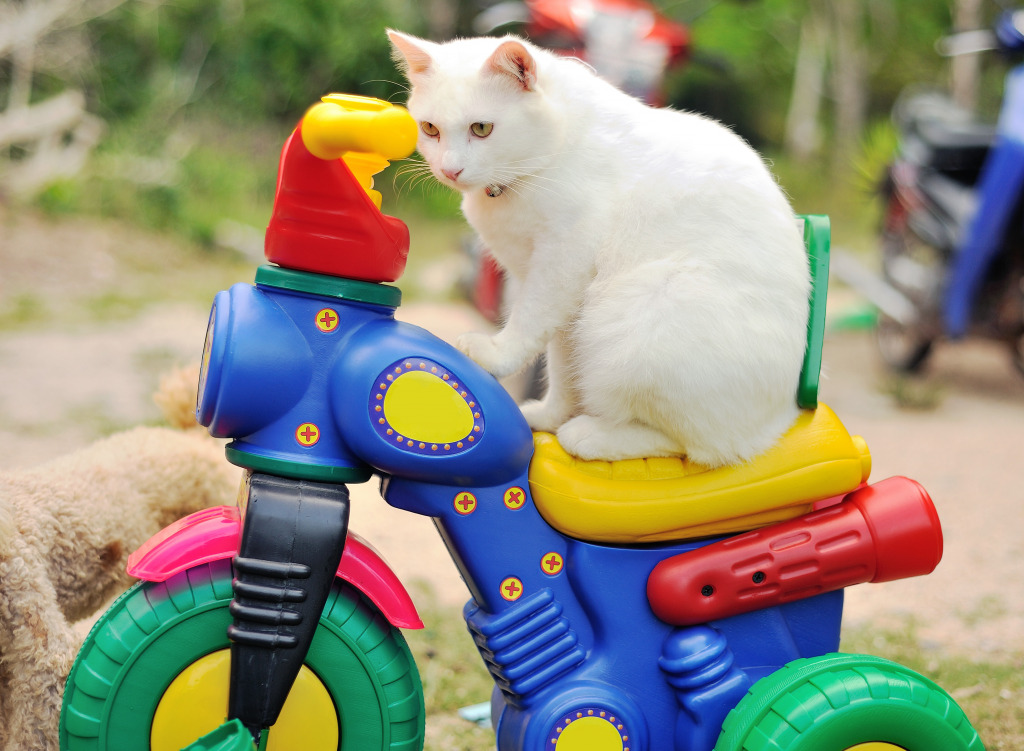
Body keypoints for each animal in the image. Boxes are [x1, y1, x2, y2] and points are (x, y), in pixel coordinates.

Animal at [387, 32, 811, 465]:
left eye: (482, 128)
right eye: (430, 129)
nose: (450, 170)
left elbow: (527, 324)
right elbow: (560, 366)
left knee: (701, 447)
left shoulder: (561, 262)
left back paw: (590, 435)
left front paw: (495, 356)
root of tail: (784, 418)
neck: (549, 153)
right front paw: (550, 416)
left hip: (641, 312)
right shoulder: (548, 291)